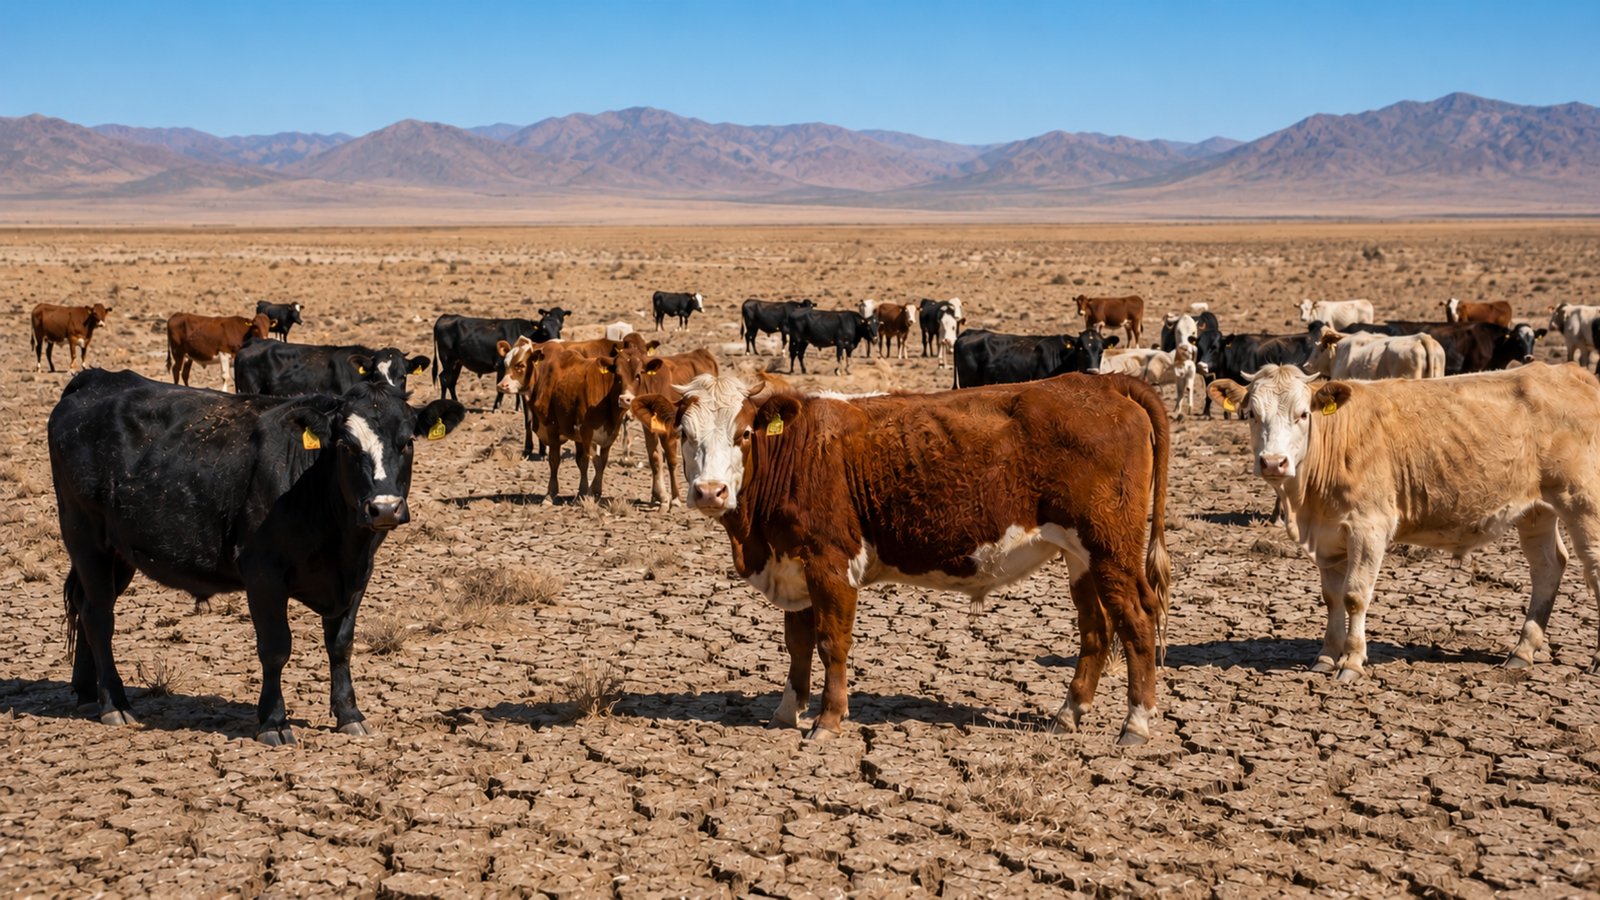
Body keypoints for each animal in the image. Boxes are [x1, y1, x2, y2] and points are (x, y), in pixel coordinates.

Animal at [48, 368, 464, 743]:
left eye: (407, 442)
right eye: (346, 446)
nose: (384, 508)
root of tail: (96, 379)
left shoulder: (357, 575)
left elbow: (341, 644)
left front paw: (349, 714)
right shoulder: (263, 575)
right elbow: (276, 648)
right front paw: (274, 721)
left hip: (119, 552)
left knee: (84, 607)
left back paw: (88, 693)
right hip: (86, 538)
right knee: (99, 616)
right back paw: (114, 704)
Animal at [431, 313, 563, 411]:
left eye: (559, 328)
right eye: (544, 330)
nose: (556, 341)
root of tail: (446, 316)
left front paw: (518, 408)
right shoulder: (501, 367)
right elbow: (500, 390)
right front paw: (496, 408)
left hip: (457, 363)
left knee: (451, 382)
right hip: (447, 360)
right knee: (444, 379)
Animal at [614, 347, 718, 509]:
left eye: (638, 375)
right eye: (618, 375)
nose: (625, 399)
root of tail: (701, 352)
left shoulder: (669, 429)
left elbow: (671, 460)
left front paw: (675, 498)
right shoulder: (648, 427)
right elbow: (654, 457)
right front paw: (657, 496)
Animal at [631, 372, 1171, 745]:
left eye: (744, 434)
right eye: (684, 434)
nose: (710, 492)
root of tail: (1101, 382)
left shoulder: (831, 562)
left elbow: (830, 643)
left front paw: (827, 720)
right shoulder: (795, 565)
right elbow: (797, 645)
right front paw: (788, 710)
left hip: (1111, 547)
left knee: (1137, 619)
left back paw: (1136, 724)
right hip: (1081, 555)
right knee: (1096, 628)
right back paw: (1068, 714)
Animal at [1206, 363, 1600, 683]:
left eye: (1303, 414)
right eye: (1252, 414)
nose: (1274, 462)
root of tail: (1573, 373)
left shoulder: (1368, 528)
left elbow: (1354, 596)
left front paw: (1351, 661)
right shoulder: (1328, 536)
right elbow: (1331, 598)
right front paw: (1326, 656)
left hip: (1583, 501)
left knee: (1592, 568)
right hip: (1537, 510)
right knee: (1548, 567)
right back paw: (1522, 650)